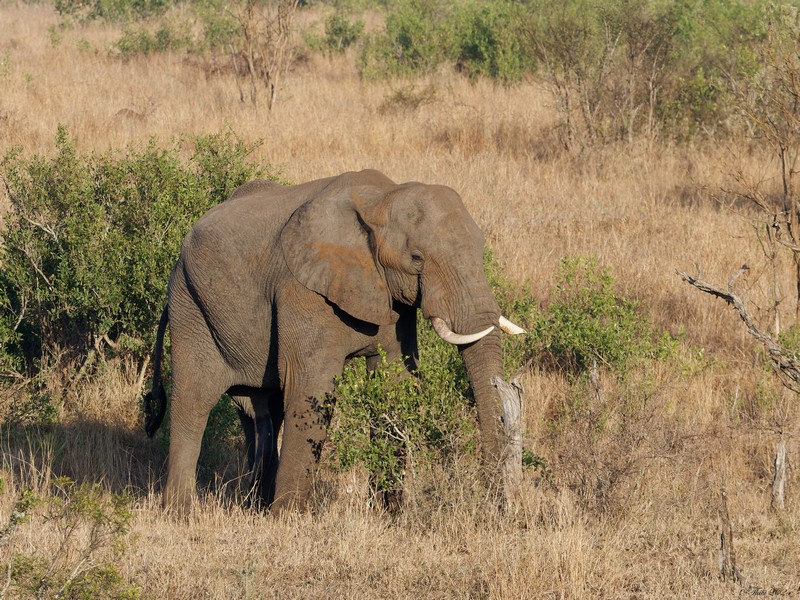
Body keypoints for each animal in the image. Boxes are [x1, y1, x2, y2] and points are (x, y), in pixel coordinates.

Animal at [145, 166, 524, 512]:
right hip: (190, 305)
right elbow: (312, 388)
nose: (495, 506)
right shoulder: (301, 290)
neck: (380, 199)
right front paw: (289, 520)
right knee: (193, 402)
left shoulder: (392, 300)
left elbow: (394, 382)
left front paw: (389, 515)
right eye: (416, 259)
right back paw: (181, 513)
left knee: (261, 411)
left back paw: (255, 504)